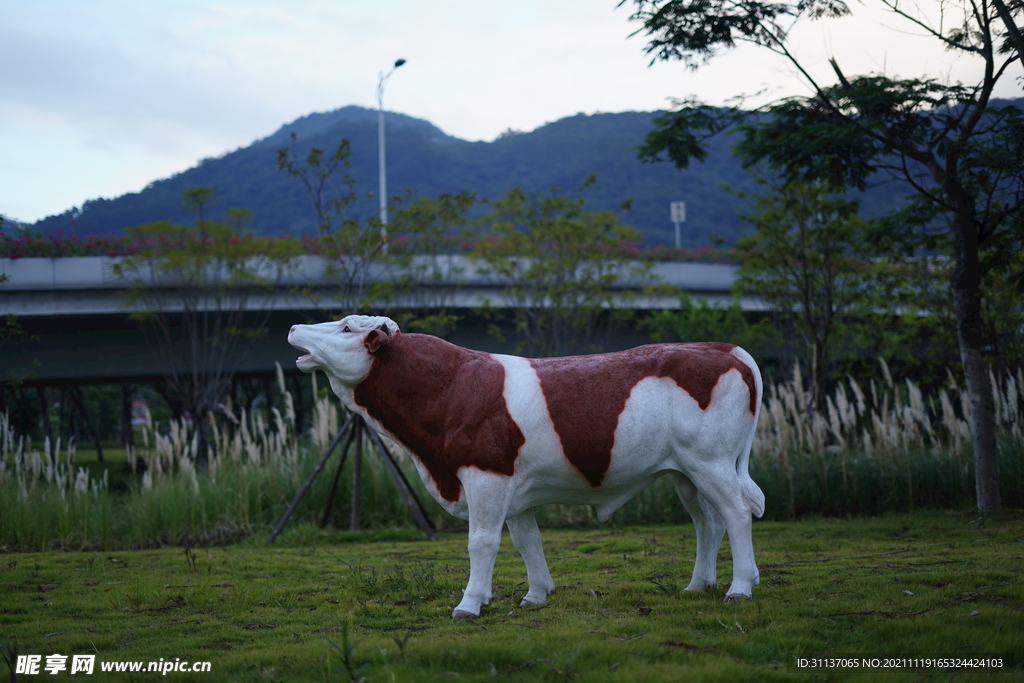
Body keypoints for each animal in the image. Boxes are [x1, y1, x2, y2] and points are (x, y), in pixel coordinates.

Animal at [284, 315, 765, 618]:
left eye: (347, 327)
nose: (292, 327)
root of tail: (727, 348)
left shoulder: (486, 474)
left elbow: (482, 542)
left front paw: (469, 604)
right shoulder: (515, 488)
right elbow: (526, 540)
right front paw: (537, 596)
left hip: (710, 461)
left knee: (737, 513)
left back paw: (740, 588)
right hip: (686, 473)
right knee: (708, 522)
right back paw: (699, 585)